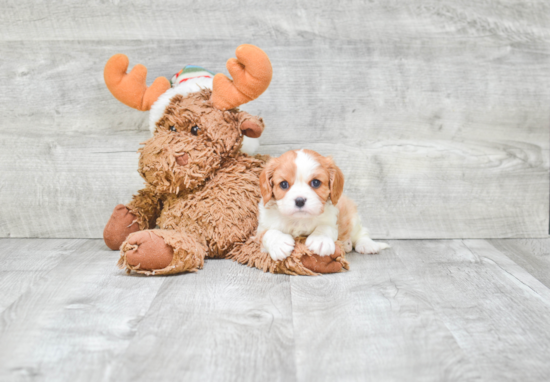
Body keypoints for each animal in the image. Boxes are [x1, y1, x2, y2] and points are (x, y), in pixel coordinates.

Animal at [258, 148, 390, 262]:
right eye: (284, 184)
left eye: (316, 183)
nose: (300, 200)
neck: (299, 220)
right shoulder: (261, 228)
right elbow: (268, 233)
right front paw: (279, 243)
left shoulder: (332, 220)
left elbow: (325, 227)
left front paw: (320, 240)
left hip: (351, 217)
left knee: (361, 232)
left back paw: (367, 244)